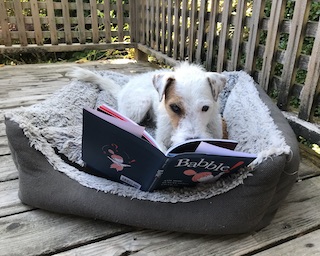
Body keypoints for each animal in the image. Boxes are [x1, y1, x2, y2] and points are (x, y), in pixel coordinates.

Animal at [69, 62, 226, 151]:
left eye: (205, 108)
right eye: (175, 107)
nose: (192, 142)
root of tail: (122, 90)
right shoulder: (160, 140)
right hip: (140, 104)